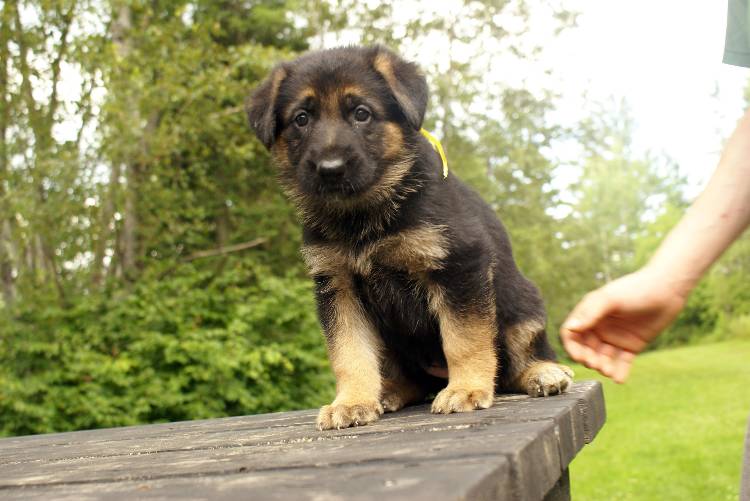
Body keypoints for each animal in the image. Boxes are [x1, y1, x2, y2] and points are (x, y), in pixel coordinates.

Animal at [248, 46, 576, 430]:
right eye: (301, 119)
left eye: (362, 113)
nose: (330, 169)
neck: (362, 217)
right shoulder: (337, 286)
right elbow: (349, 351)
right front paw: (352, 402)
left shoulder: (459, 265)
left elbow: (464, 338)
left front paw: (465, 389)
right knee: (410, 379)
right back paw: (386, 392)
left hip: (522, 305)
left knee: (516, 361)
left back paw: (542, 373)